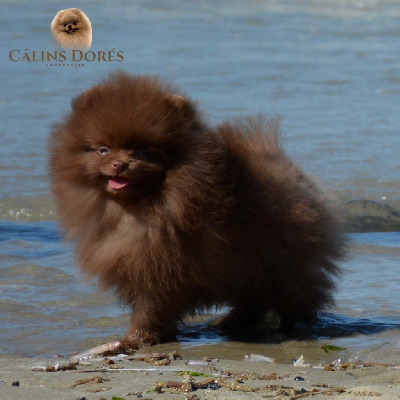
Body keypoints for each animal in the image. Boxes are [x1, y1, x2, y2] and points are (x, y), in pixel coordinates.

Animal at [48, 73, 346, 348]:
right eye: (103, 149)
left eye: (143, 152)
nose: (120, 164)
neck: (138, 207)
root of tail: (293, 174)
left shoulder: (159, 266)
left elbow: (150, 307)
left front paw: (135, 339)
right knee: (257, 300)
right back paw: (235, 322)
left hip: (282, 263)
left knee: (293, 299)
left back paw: (287, 328)